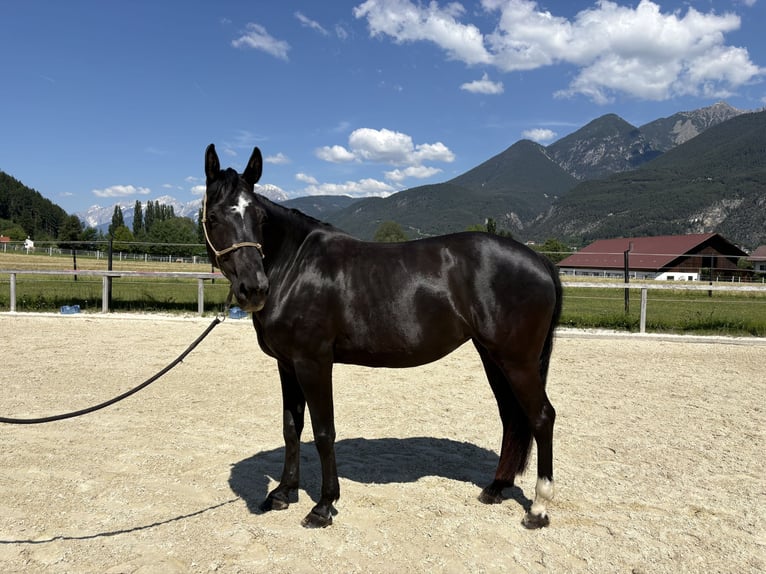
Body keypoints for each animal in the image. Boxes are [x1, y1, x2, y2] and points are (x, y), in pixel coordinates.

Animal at [203, 144, 562, 529]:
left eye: (259, 217)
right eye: (215, 217)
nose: (254, 289)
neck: (295, 266)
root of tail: (538, 260)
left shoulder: (313, 363)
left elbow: (323, 431)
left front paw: (323, 506)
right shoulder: (287, 364)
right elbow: (291, 427)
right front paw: (283, 493)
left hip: (518, 361)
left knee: (541, 417)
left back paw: (539, 508)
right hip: (493, 357)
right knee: (512, 417)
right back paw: (495, 488)